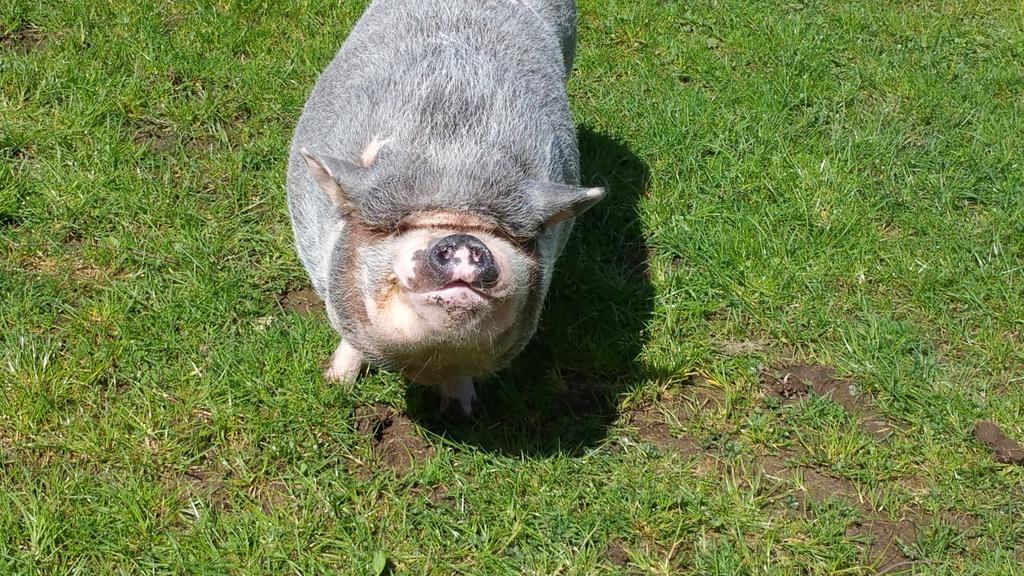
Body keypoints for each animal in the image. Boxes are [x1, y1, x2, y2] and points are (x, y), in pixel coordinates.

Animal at [286, 0, 604, 417]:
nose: (465, 240)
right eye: (396, 228)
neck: (452, 167)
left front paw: (462, 414)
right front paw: (334, 382)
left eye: (500, 234)